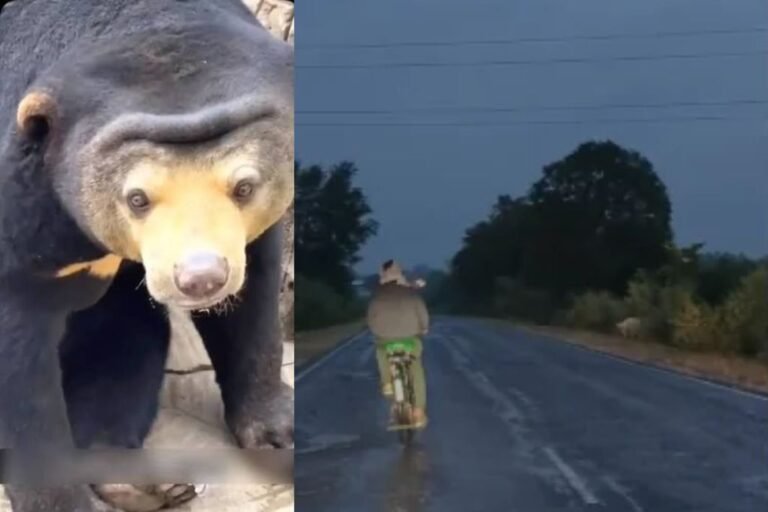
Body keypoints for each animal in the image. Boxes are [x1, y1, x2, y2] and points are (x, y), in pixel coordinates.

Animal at [0, 0, 294, 510]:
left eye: (244, 186)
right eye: (137, 198)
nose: (202, 278)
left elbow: (253, 295)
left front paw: (277, 435)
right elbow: (20, 373)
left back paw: (134, 480)